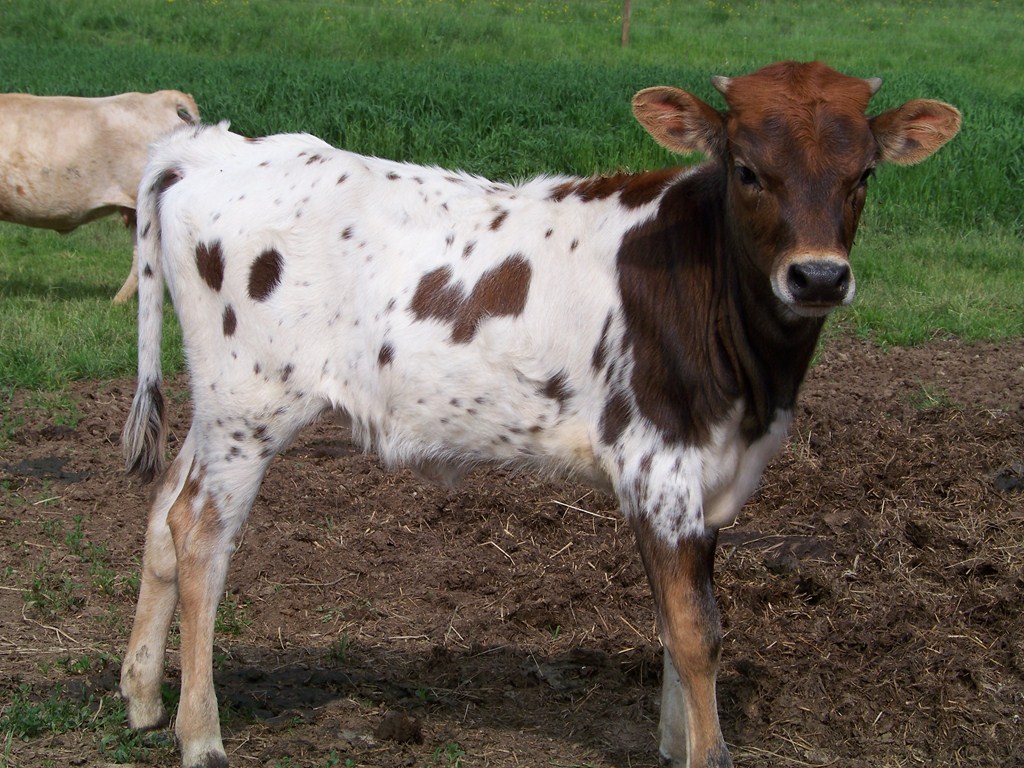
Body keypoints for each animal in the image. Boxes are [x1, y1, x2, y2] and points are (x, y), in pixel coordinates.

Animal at [118, 61, 960, 768]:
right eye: (748, 170)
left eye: (864, 174)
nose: (818, 277)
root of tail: (209, 147)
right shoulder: (656, 460)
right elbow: (697, 629)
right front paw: (707, 752)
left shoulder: (704, 469)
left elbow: (673, 619)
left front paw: (672, 743)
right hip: (251, 405)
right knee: (201, 534)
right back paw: (201, 736)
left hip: (217, 407)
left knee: (163, 509)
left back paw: (144, 696)